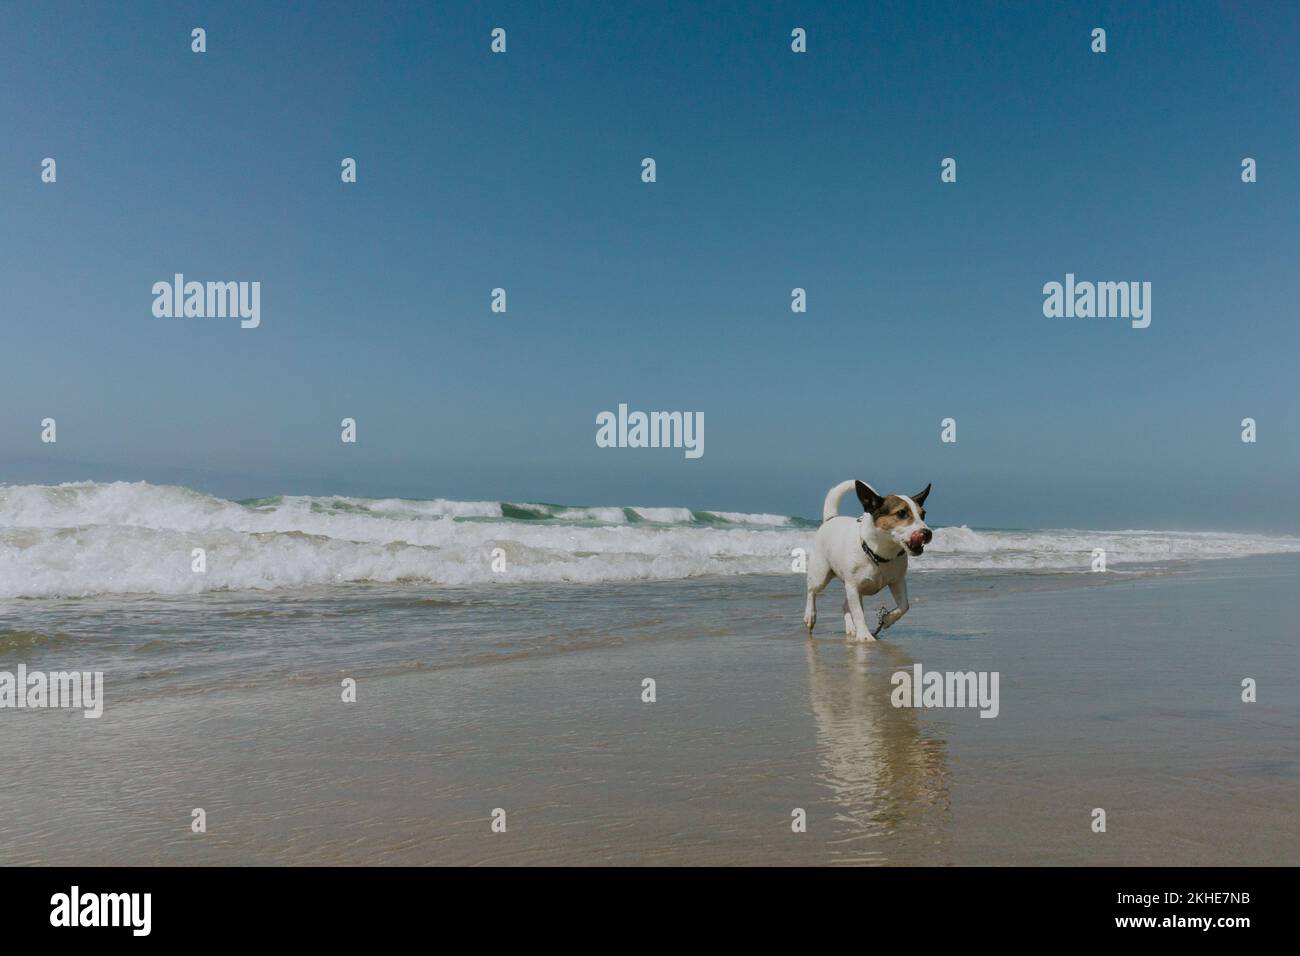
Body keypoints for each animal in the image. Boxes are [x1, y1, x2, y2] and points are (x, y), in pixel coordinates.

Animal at [806, 478, 930, 642]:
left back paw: (851, 629)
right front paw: (864, 635)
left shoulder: (897, 581)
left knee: (845, 606)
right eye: (902, 513)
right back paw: (810, 615)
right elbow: (858, 613)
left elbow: (904, 605)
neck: (879, 555)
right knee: (812, 591)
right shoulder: (853, 586)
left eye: (923, 514)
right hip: (821, 575)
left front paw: (887, 619)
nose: (927, 533)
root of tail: (831, 519)